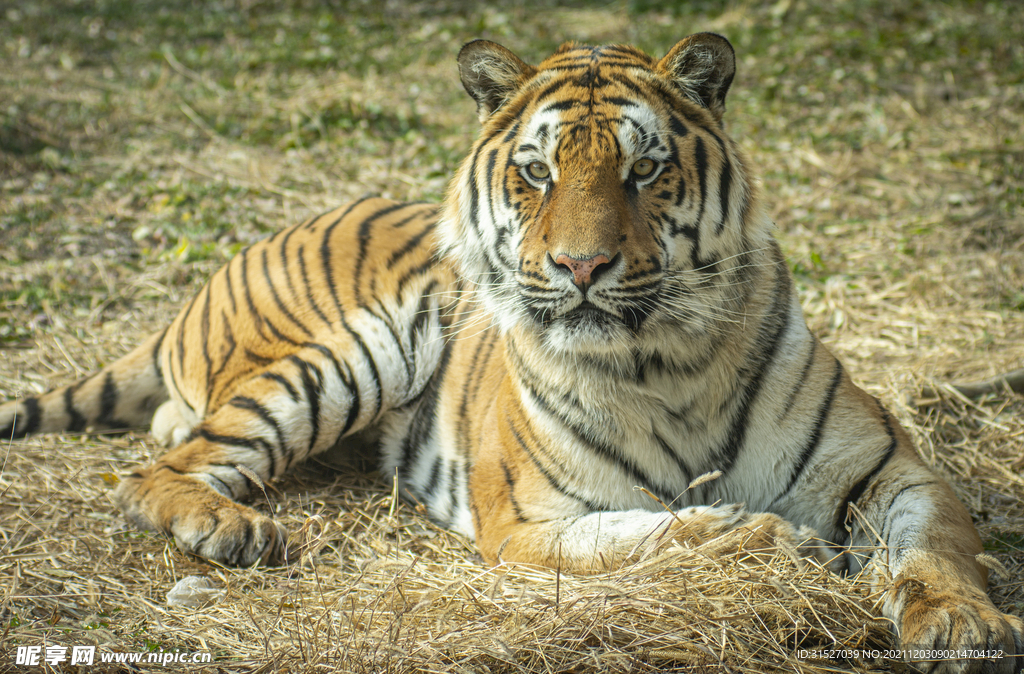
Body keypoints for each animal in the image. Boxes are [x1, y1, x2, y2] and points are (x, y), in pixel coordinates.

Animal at [0, 32, 1019, 671]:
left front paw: (964, 624)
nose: (581, 265)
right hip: (351, 351)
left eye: (644, 169)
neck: (670, 363)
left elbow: (934, 548)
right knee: (158, 471)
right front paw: (769, 540)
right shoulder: (532, 523)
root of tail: (228, 263)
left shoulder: (890, 468)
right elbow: (653, 535)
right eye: (536, 172)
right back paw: (232, 529)